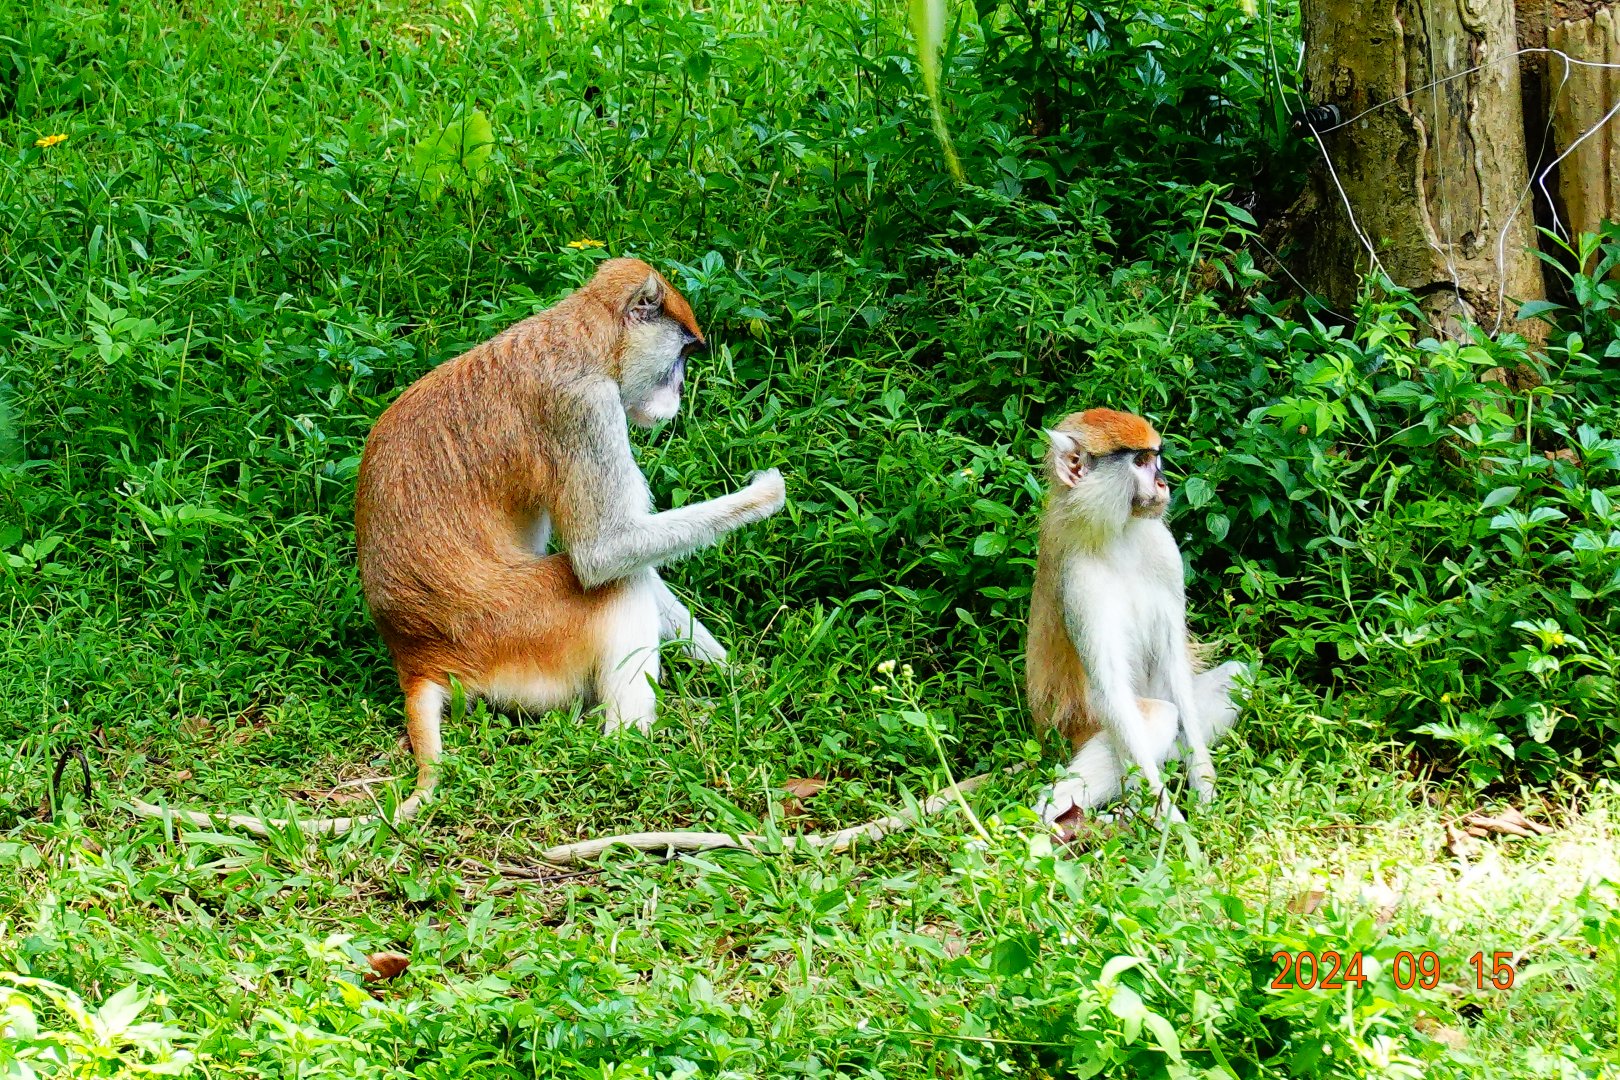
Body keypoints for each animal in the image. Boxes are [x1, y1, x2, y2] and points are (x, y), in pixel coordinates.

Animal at [132, 258, 784, 836]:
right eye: (682, 356)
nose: (678, 393)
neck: (580, 336)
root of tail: (416, 656)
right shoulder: (582, 411)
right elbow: (605, 552)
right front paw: (766, 494)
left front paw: (739, 675)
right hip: (518, 632)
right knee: (613, 588)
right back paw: (629, 747)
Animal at [1024, 408, 1248, 826]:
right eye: (1140, 462)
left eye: (1155, 458)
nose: (1162, 482)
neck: (1117, 534)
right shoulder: (1079, 580)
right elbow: (1111, 689)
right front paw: (1176, 828)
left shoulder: (1164, 551)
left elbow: (1175, 664)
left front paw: (1206, 794)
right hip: (1081, 728)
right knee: (1156, 715)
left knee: (1229, 680)